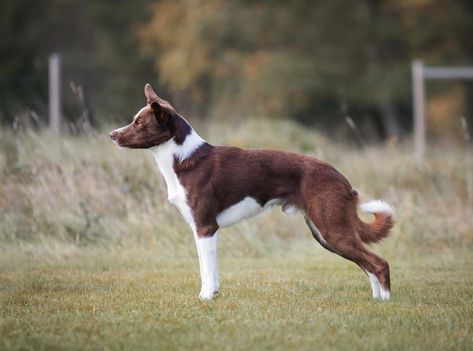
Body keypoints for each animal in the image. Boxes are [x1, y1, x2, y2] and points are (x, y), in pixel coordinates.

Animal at [110, 85, 394, 302]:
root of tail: (343, 180)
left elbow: (207, 270)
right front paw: (211, 295)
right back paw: (375, 300)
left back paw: (385, 303)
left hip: (332, 230)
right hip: (325, 233)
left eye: (139, 122)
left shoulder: (206, 227)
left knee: (379, 263)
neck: (182, 158)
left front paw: (206, 298)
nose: (112, 134)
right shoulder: (199, 229)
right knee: (368, 265)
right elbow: (206, 267)